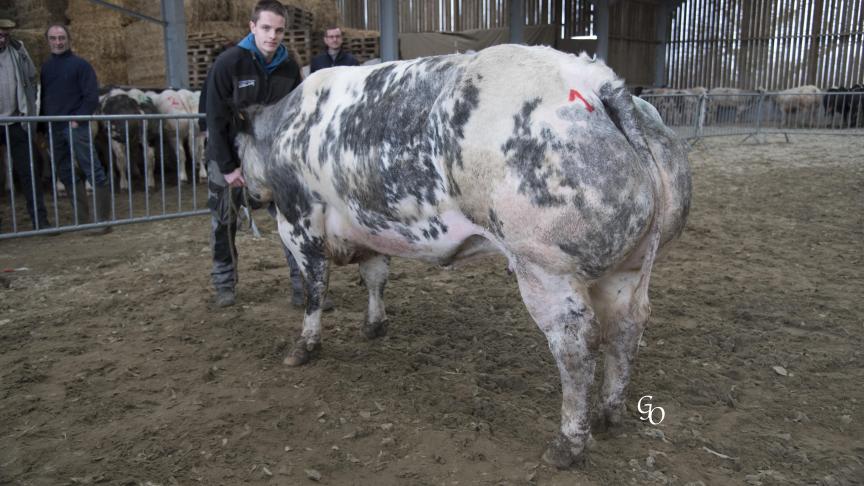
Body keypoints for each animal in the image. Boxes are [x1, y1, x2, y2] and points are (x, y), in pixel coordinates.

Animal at [235, 45, 688, 468]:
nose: (246, 195)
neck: (288, 126)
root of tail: (599, 82)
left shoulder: (299, 224)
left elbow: (315, 290)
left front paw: (304, 347)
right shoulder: (373, 228)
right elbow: (376, 276)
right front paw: (374, 325)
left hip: (546, 269)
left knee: (576, 343)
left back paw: (568, 444)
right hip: (626, 268)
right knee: (626, 327)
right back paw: (610, 415)